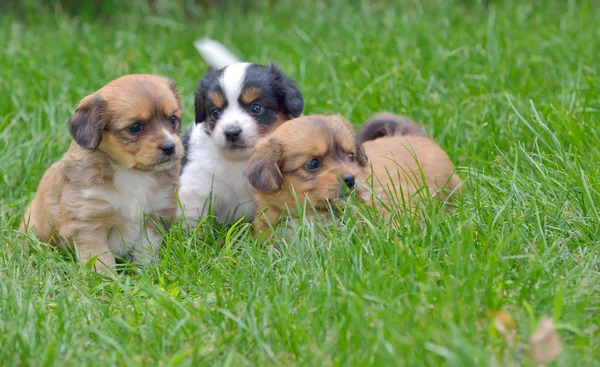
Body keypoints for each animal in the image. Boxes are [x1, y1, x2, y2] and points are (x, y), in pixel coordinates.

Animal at [19, 74, 184, 270]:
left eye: (173, 119)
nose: (170, 147)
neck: (132, 174)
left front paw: (146, 271)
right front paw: (106, 277)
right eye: (135, 127)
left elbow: (146, 250)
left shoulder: (155, 215)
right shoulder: (88, 223)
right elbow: (100, 259)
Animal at [176, 61, 302, 227]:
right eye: (215, 112)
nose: (231, 133)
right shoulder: (196, 188)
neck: (240, 161)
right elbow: (194, 223)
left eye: (256, 108)